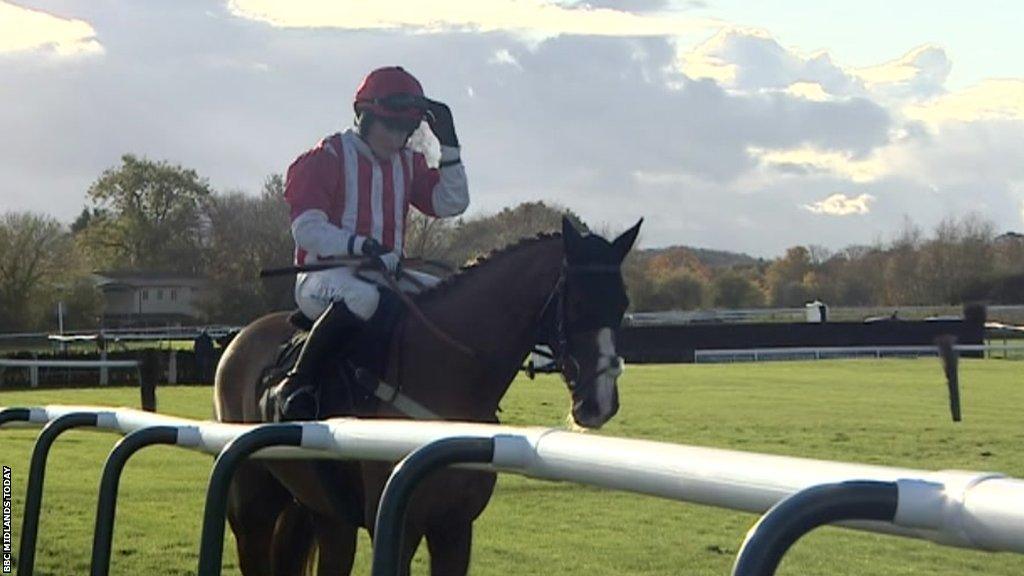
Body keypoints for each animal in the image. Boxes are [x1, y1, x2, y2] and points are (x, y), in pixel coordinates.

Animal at [210, 216, 638, 573]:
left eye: (622, 303)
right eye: (579, 303)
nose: (600, 404)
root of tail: (240, 340)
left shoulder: (454, 527)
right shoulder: (401, 526)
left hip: (319, 511)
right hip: (252, 509)